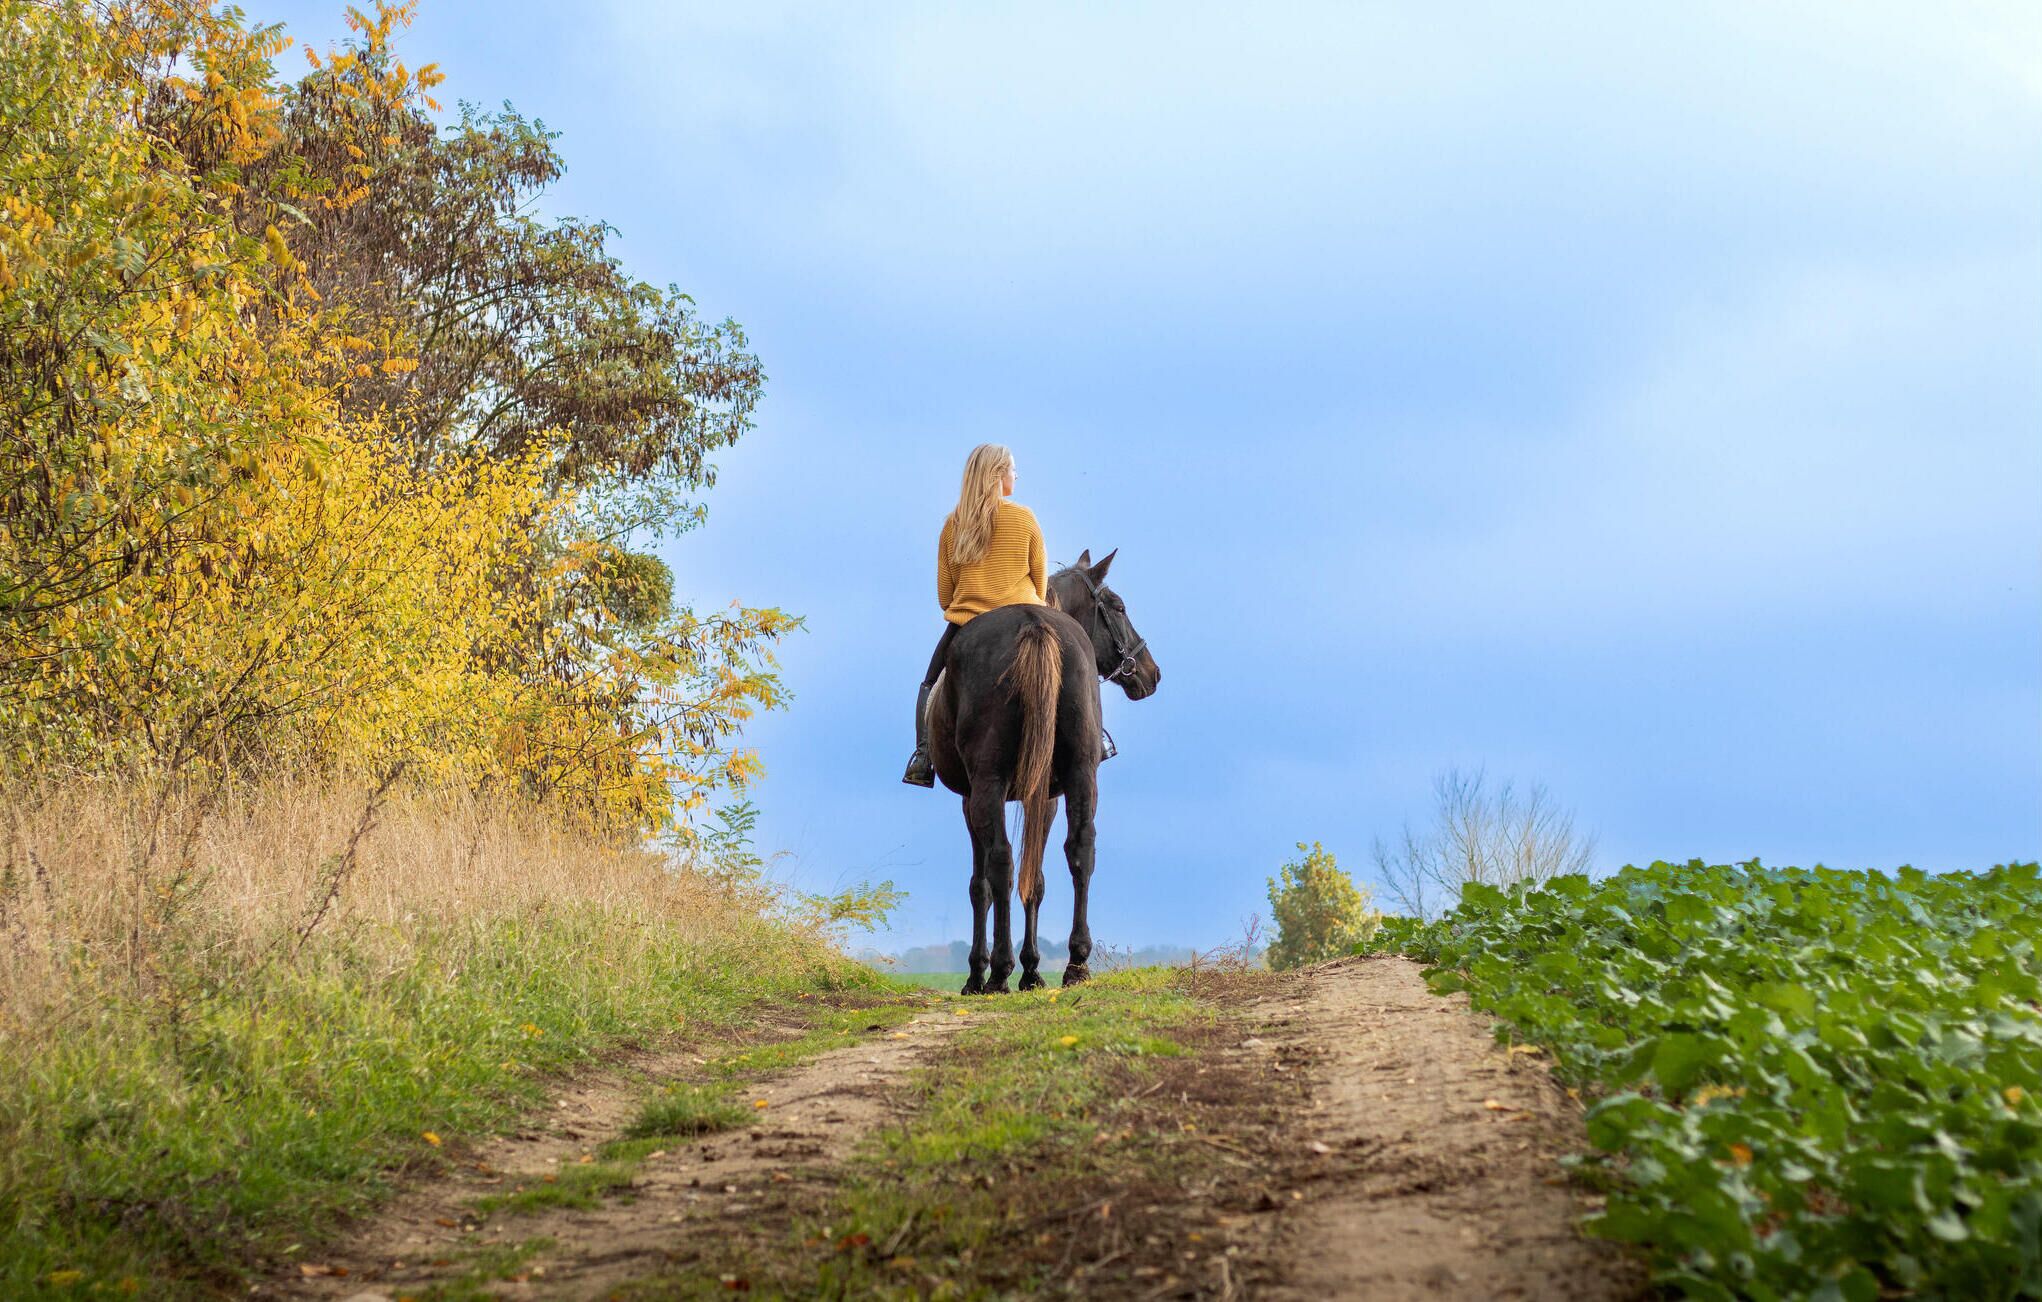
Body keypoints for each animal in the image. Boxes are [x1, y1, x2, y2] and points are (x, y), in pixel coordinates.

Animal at [927, 548, 1162, 994]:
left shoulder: (971, 797)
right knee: (1080, 849)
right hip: (1080, 775)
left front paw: (980, 972)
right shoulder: (1047, 796)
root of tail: (1034, 625)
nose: (1151, 672)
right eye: (1119, 607)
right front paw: (1033, 970)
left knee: (1001, 861)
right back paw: (1075, 963)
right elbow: (1035, 879)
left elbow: (981, 884)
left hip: (989, 784)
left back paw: (999, 972)